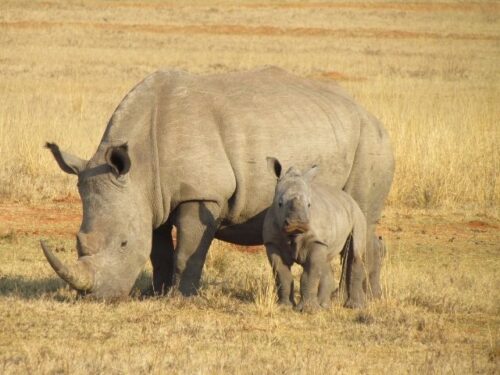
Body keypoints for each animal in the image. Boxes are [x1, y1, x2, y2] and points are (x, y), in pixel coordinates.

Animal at [266, 157, 368, 312]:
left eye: (309, 205)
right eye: (280, 203)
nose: (297, 223)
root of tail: (349, 198)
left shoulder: (316, 240)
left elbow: (310, 273)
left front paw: (308, 310)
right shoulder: (272, 242)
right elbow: (282, 274)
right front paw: (284, 307)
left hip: (357, 215)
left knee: (354, 253)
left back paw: (354, 307)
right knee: (325, 261)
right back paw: (324, 306)